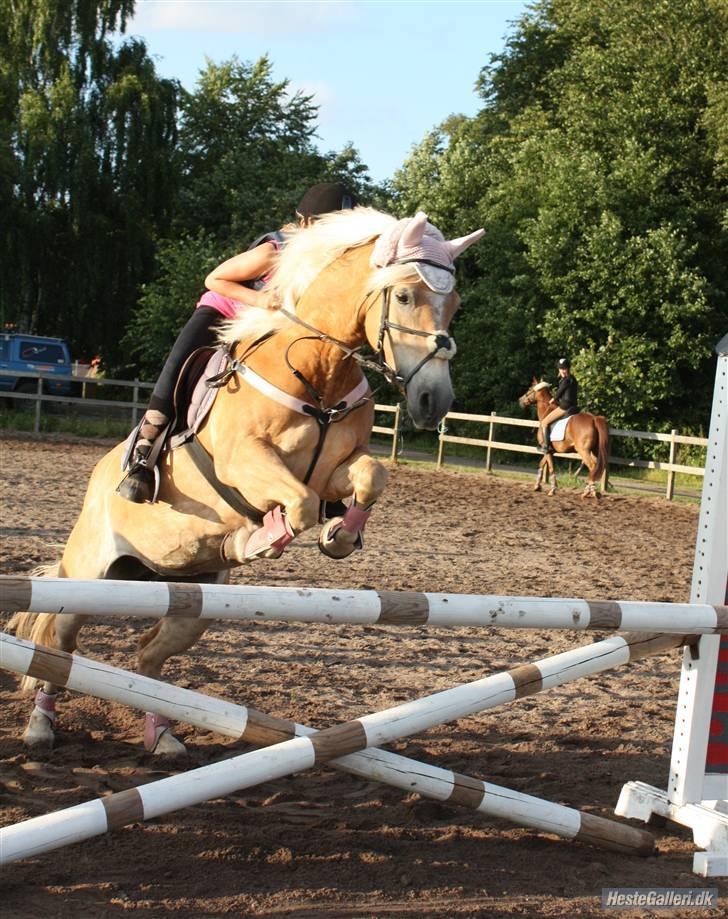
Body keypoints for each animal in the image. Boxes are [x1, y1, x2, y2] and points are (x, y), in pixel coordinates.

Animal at [11, 207, 484, 756]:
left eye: (455, 303)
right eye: (405, 296)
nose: (434, 402)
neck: (317, 372)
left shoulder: (335, 469)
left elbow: (370, 476)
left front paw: (338, 536)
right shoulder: (246, 461)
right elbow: (299, 504)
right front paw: (262, 537)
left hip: (190, 601)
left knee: (149, 654)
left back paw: (163, 735)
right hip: (89, 577)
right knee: (58, 644)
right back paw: (41, 726)